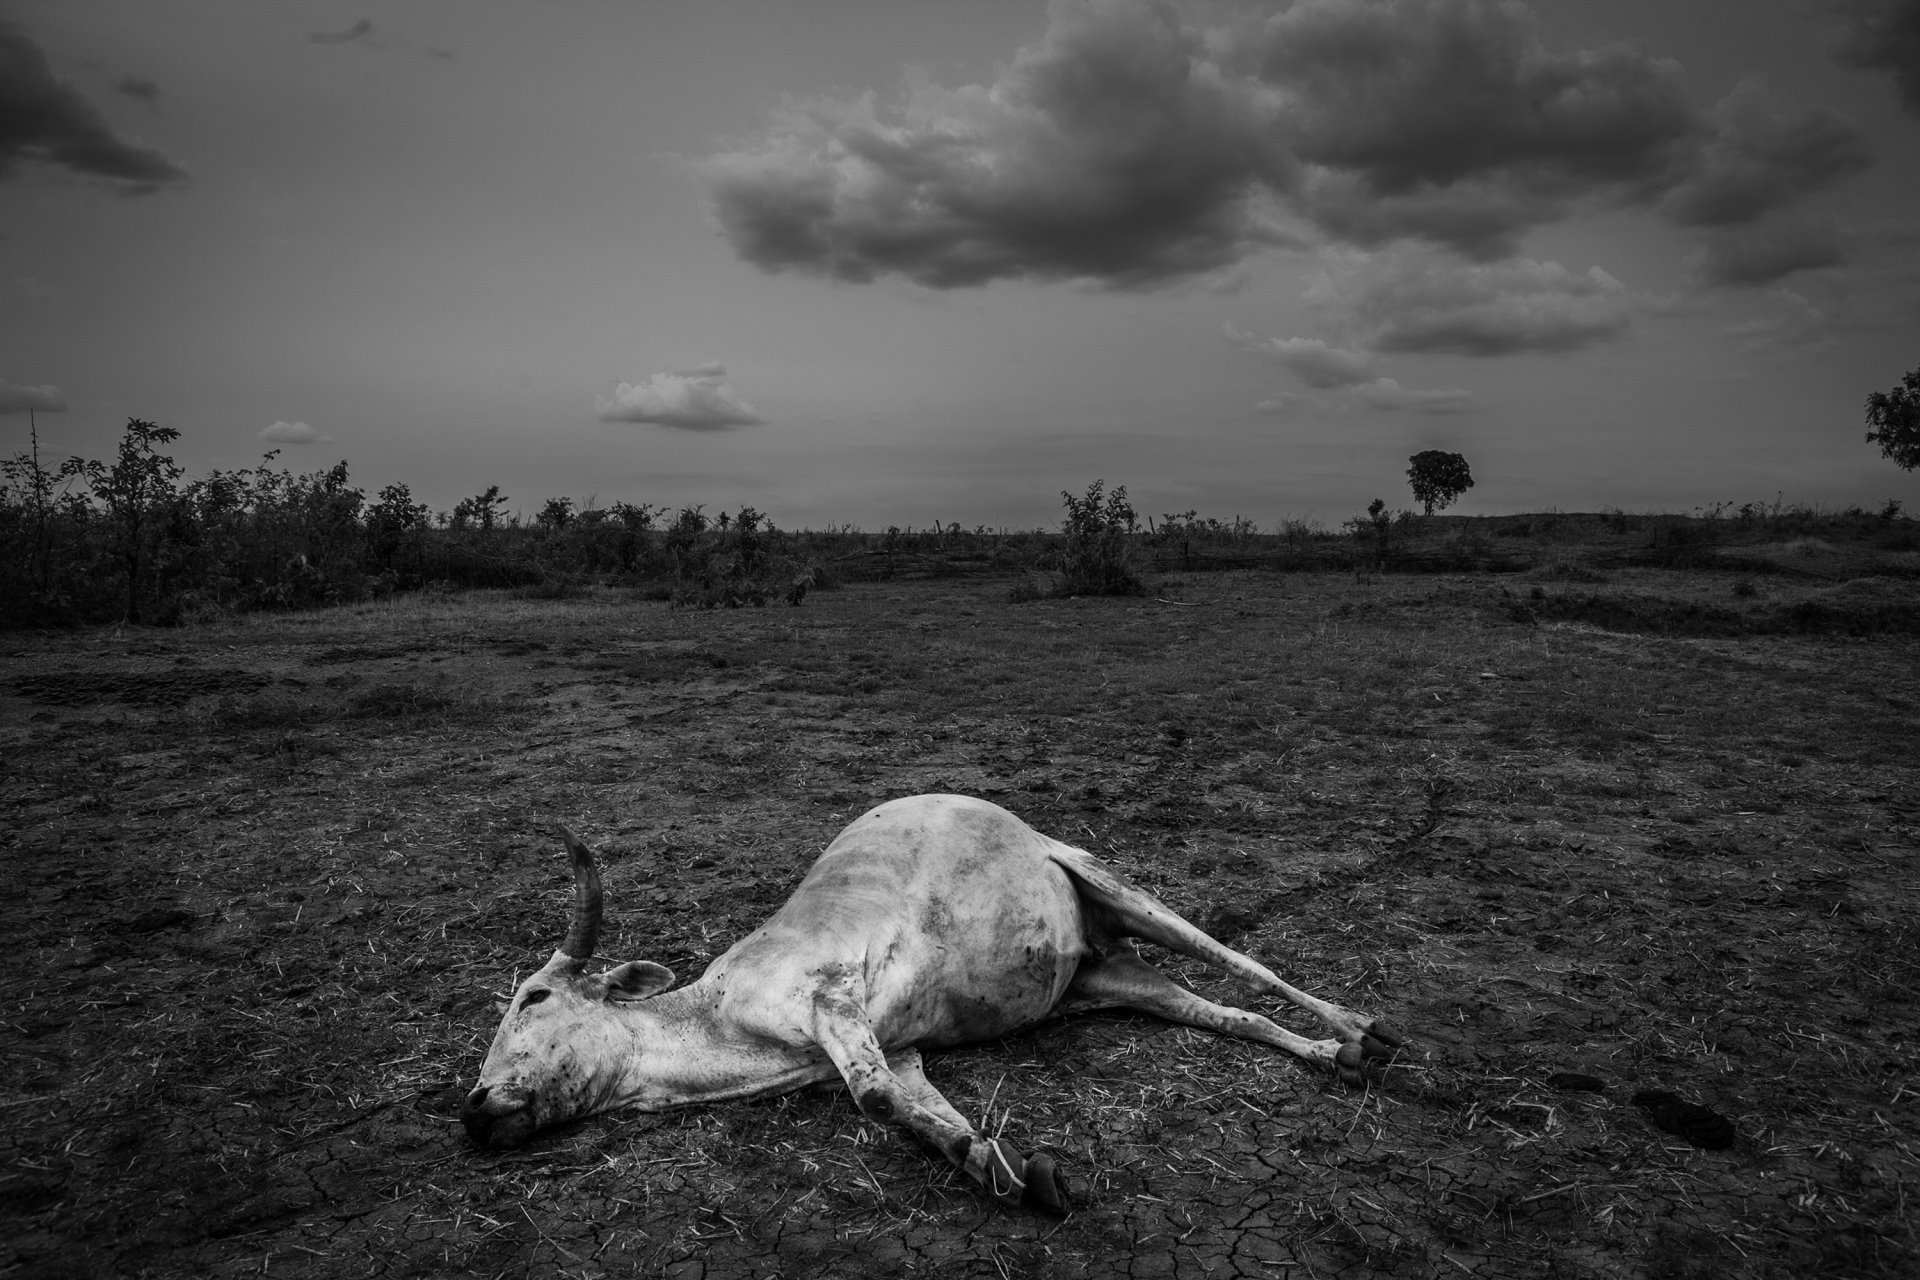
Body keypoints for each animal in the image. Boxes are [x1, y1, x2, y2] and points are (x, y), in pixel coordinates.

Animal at [456, 790, 1405, 1212]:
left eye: (532, 997)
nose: (475, 1109)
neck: (720, 1020)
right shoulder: (898, 1047)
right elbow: (912, 1104)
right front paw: (1000, 1163)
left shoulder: (835, 993)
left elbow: (873, 1098)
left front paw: (1002, 1162)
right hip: (1106, 983)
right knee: (1220, 1012)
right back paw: (1332, 1055)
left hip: (1115, 887)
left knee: (1248, 965)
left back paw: (1365, 1031)